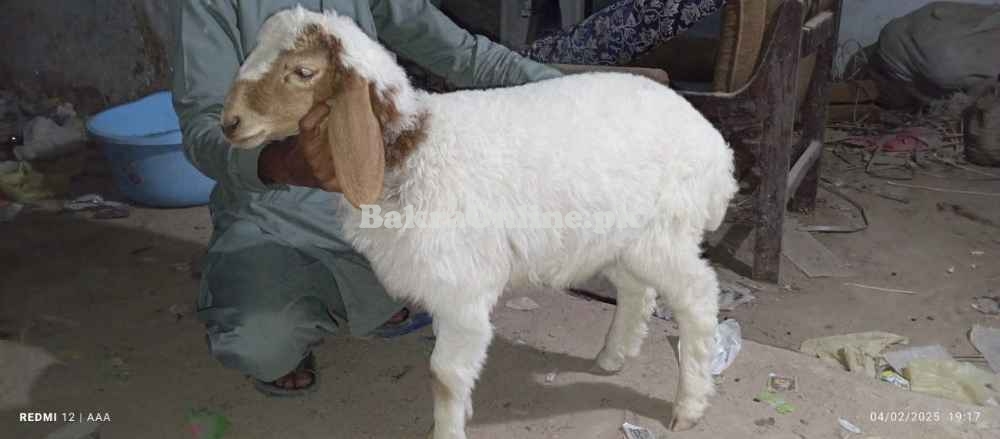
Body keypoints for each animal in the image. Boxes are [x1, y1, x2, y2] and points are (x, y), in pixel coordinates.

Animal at [225, 5, 744, 438]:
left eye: (303, 72)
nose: (229, 122)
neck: (411, 151)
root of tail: (717, 149)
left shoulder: (461, 290)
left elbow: (445, 375)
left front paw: (446, 432)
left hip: (665, 233)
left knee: (698, 297)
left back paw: (689, 405)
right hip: (616, 237)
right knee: (637, 291)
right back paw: (612, 357)